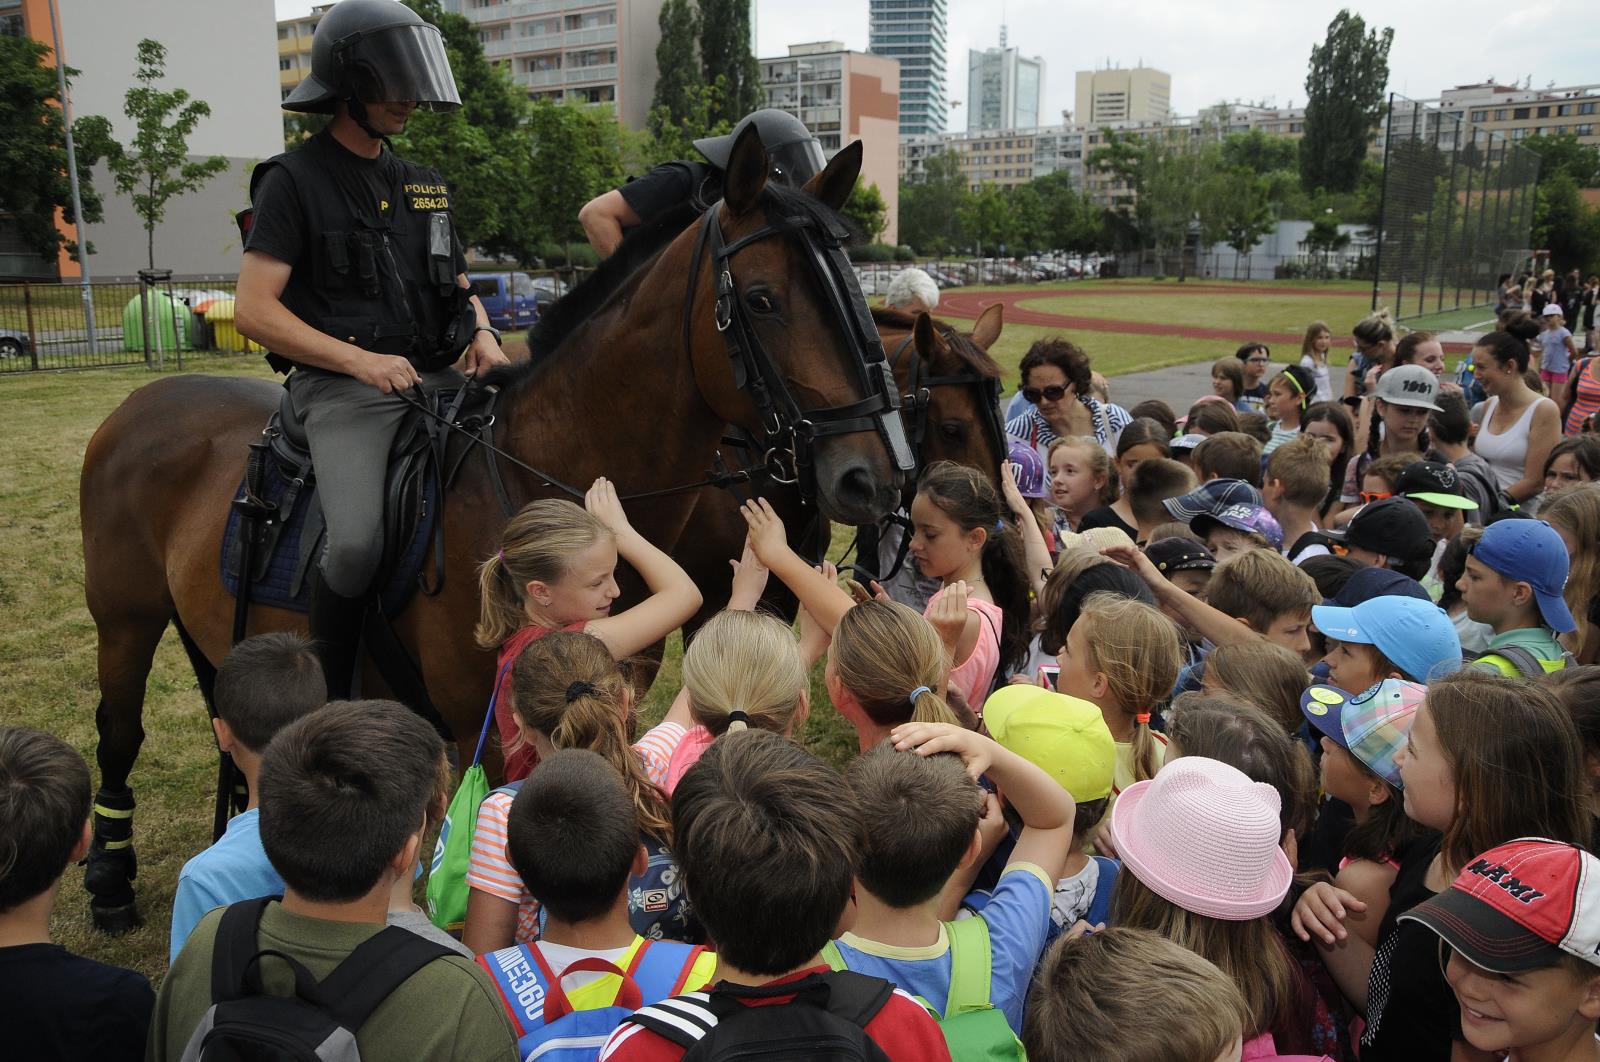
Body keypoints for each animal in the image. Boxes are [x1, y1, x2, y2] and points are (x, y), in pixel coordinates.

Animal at [78, 130, 902, 927]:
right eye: (762, 300)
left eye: (854, 289)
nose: (873, 476)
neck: (541, 476)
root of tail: (142, 403)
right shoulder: (504, 742)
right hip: (126, 621)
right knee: (119, 730)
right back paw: (111, 878)